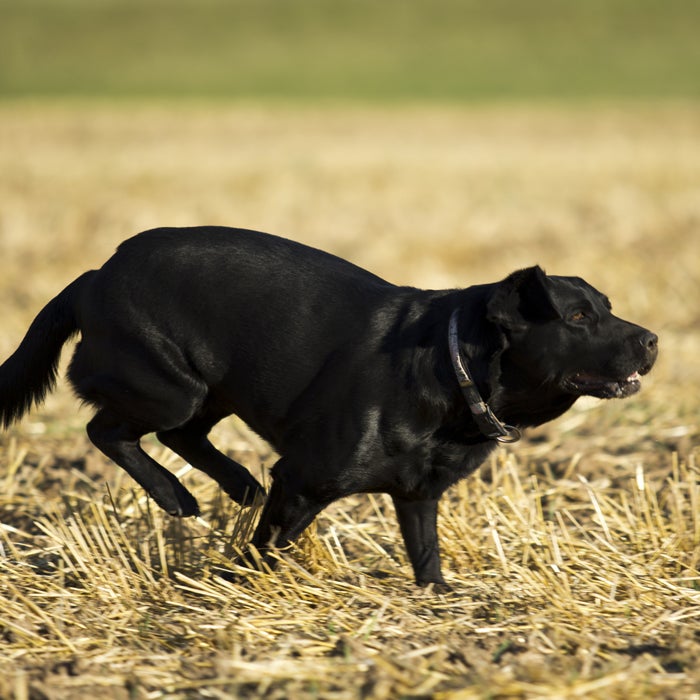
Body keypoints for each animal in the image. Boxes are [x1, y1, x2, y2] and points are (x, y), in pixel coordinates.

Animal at [0, 228, 656, 584]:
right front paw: (238, 586)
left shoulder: (418, 496)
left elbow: (426, 557)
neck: (453, 369)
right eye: (578, 317)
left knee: (178, 437)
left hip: (208, 388)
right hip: (169, 386)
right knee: (106, 429)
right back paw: (178, 497)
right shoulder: (304, 479)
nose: (651, 340)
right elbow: (268, 547)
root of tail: (92, 276)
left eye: (608, 307)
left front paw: (441, 603)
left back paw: (237, 484)